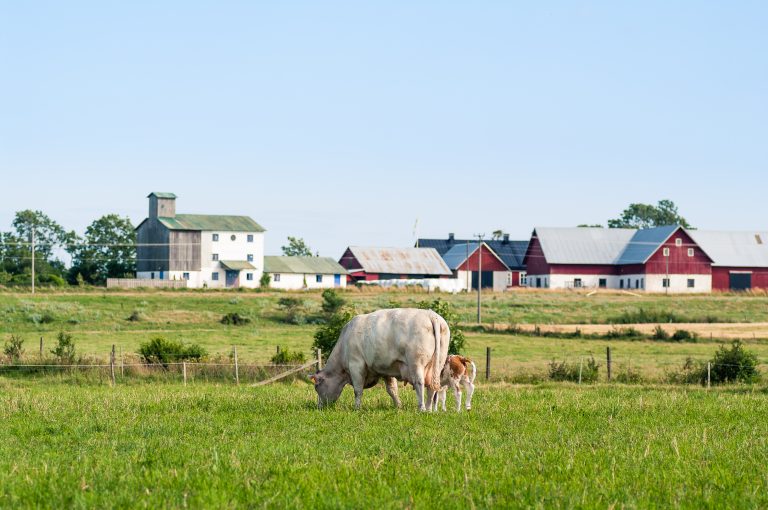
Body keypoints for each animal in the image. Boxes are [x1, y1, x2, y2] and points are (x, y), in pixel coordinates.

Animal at [308, 306, 448, 410]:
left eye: (317, 387)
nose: (319, 407)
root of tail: (431, 315)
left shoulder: (356, 365)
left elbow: (357, 390)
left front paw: (356, 408)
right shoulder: (388, 369)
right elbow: (392, 390)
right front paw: (398, 406)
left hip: (416, 363)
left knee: (420, 383)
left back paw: (422, 408)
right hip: (438, 364)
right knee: (432, 387)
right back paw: (429, 409)